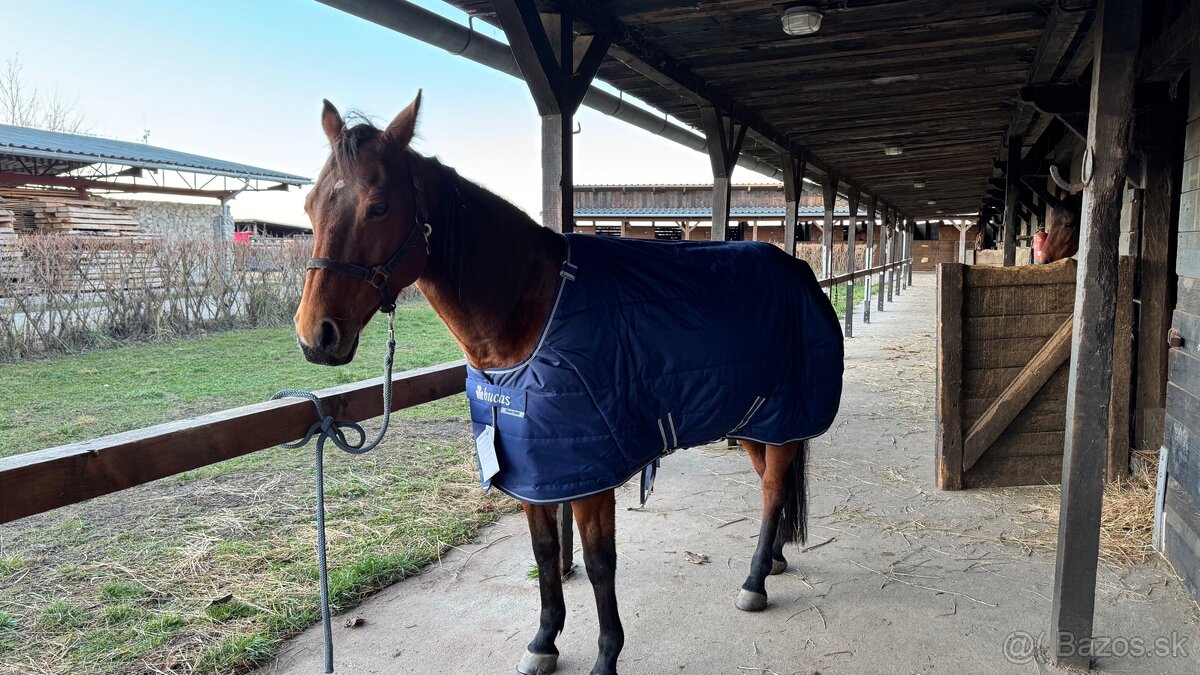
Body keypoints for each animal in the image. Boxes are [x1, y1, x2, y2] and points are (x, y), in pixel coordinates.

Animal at [296, 94, 844, 672]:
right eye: (309, 205)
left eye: (378, 206)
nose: (316, 335)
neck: (533, 313)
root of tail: (798, 271)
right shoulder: (534, 469)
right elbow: (544, 553)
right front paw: (543, 641)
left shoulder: (589, 473)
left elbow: (601, 563)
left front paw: (606, 656)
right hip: (756, 421)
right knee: (773, 489)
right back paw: (775, 559)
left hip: (781, 415)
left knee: (772, 489)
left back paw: (755, 582)